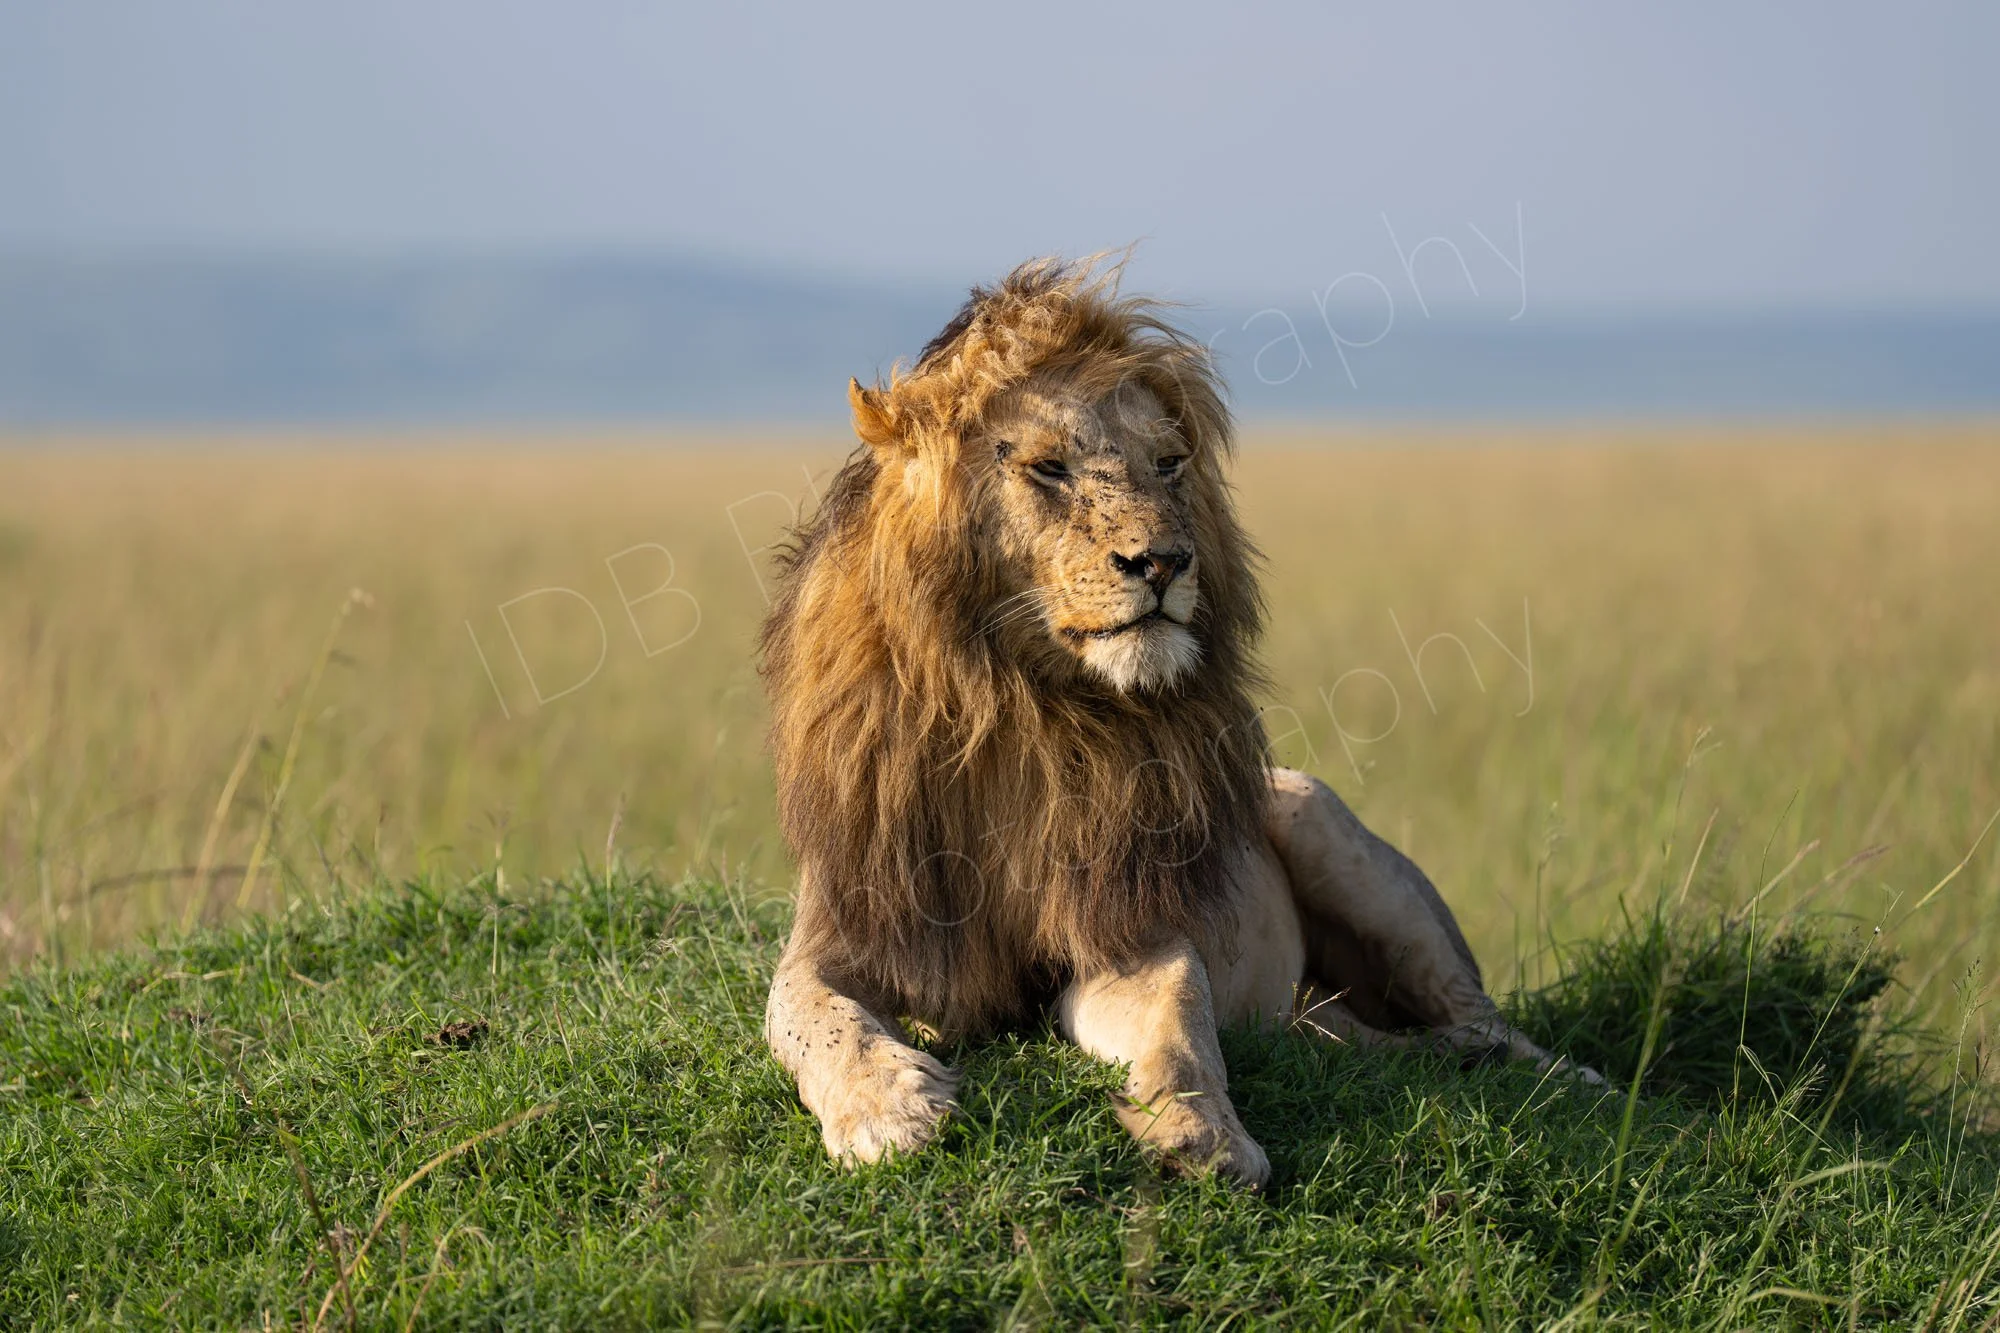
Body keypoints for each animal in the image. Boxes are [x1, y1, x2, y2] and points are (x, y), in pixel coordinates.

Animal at [760, 257, 1591, 1187]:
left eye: (1167, 464)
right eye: (1048, 467)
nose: (1163, 561)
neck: (1018, 705)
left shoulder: (1131, 927)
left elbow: (1180, 1022)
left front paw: (1204, 1133)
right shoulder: (845, 926)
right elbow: (811, 1016)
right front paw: (889, 1110)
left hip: (1325, 824)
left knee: (1483, 1017)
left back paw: (1548, 1074)